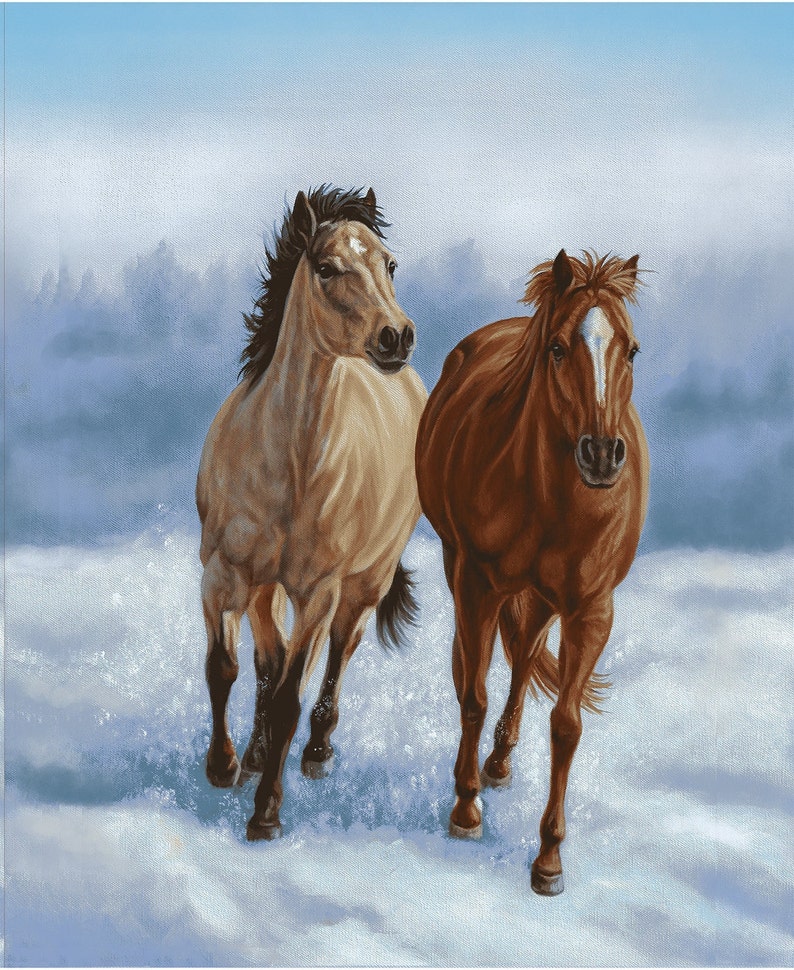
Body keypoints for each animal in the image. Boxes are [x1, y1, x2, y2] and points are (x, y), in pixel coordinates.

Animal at [197, 185, 427, 841]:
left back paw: (317, 752)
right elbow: (225, 668)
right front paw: (224, 767)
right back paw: (252, 754)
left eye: (390, 265)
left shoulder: (319, 593)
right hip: (261, 589)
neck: (291, 465)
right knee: (265, 660)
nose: (396, 338)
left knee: (338, 656)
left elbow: (290, 697)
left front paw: (266, 814)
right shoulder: (223, 574)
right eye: (326, 267)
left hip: (364, 583)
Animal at [415, 249, 649, 895]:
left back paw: (499, 761)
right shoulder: (477, 583)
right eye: (559, 348)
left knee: (522, 658)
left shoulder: (590, 609)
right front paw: (465, 810)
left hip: (542, 599)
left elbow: (566, 725)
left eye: (631, 349)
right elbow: (473, 692)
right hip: (461, 567)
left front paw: (549, 859)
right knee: (475, 664)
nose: (602, 455)